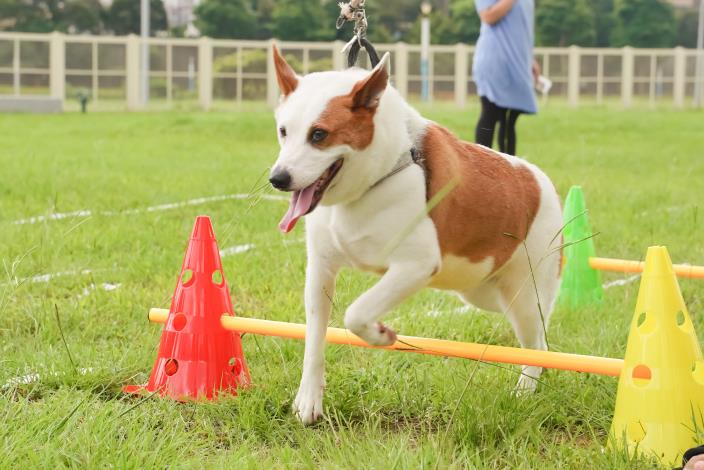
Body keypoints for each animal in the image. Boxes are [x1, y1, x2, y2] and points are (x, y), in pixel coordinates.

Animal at [268, 47, 560, 426]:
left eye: (319, 135)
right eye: (283, 131)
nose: (278, 178)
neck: (372, 180)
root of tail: (540, 181)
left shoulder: (416, 266)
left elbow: (356, 313)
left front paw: (379, 335)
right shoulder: (320, 269)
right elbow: (315, 337)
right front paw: (309, 400)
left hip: (524, 295)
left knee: (538, 344)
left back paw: (524, 391)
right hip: (481, 292)